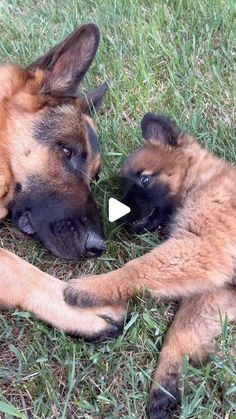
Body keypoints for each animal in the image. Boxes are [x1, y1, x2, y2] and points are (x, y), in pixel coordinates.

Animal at [64, 112, 236, 419]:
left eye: (144, 179)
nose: (117, 219)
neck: (200, 180)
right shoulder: (220, 288)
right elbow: (180, 331)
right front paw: (166, 383)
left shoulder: (201, 247)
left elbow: (136, 268)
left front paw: (90, 287)